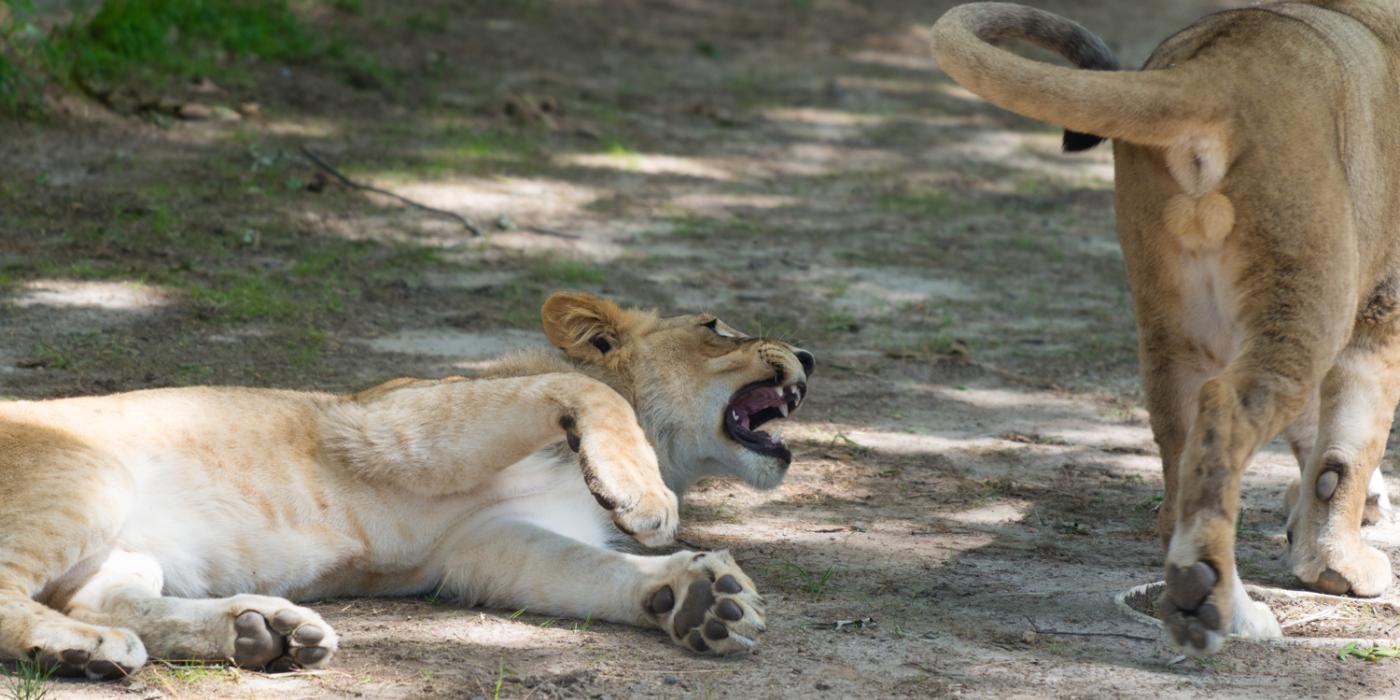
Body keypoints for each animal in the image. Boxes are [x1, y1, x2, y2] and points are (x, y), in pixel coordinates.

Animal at [0, 291, 817, 677]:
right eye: (716, 326)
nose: (810, 353)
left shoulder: (484, 542)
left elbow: (592, 573)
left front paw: (699, 599)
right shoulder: (396, 421)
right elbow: (586, 391)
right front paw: (643, 498)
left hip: (125, 547)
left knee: (108, 598)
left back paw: (263, 632)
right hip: (91, 473)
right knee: (28, 596)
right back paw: (80, 650)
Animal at [929, 1, 1400, 655]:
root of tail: (1214, 70)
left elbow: (1317, 447)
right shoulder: (1379, 314)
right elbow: (1344, 456)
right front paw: (1339, 563)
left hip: (1172, 324)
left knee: (1182, 472)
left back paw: (1210, 598)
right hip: (1305, 294)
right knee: (1229, 415)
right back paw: (1218, 608)